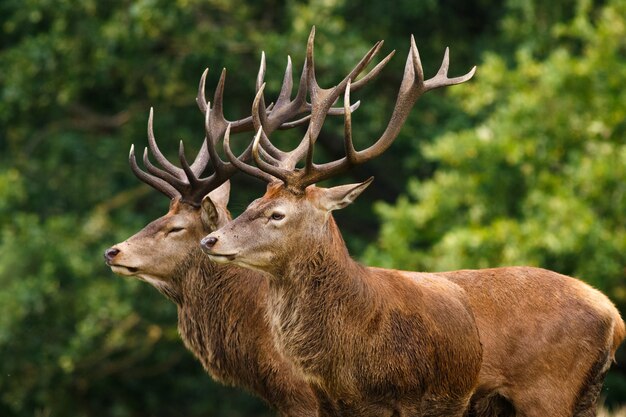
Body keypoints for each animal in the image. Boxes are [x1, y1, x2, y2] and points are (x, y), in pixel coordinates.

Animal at [202, 27, 620, 414]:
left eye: (277, 214)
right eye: (252, 202)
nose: (211, 240)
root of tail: (615, 318)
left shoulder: (411, 397)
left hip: (548, 391)